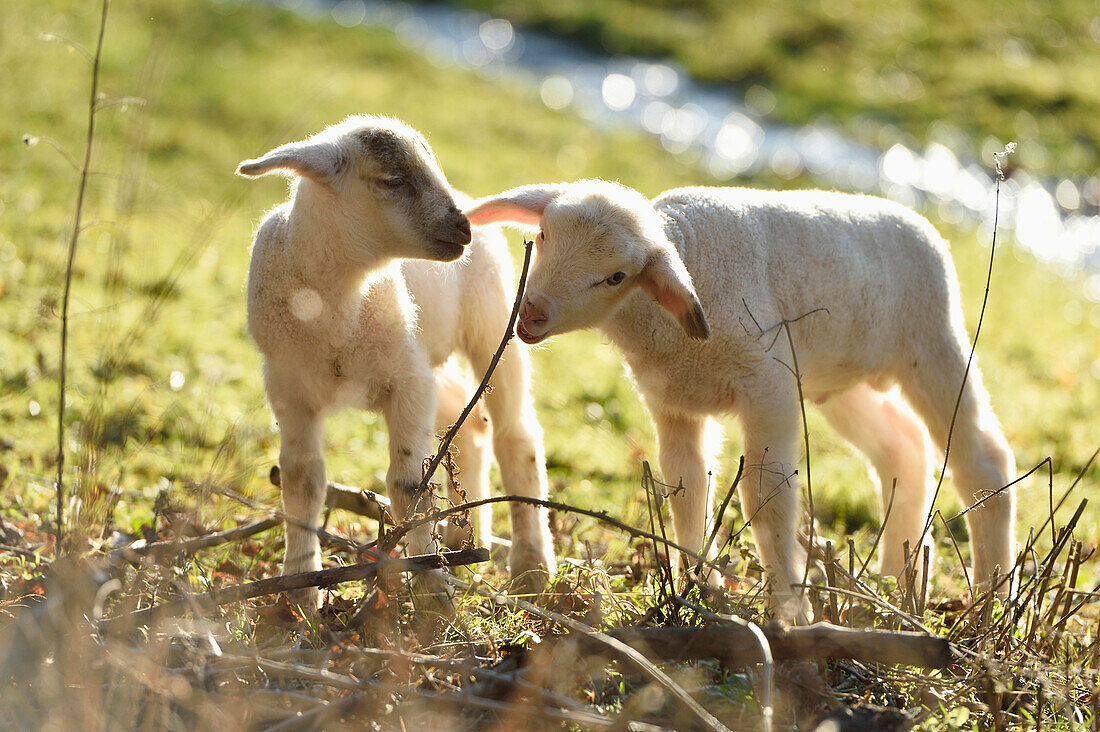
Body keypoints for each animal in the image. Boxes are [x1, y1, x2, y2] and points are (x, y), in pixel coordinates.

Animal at [235, 114, 554, 603]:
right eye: (393, 180)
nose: (462, 228)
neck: (338, 307)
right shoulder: (290, 389)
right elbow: (302, 481)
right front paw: (300, 587)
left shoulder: (407, 384)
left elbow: (408, 487)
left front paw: (431, 592)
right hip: (427, 359)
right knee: (470, 421)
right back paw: (465, 540)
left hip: (493, 321)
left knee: (516, 435)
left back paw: (531, 566)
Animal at [464, 179, 1012, 620]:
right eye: (543, 236)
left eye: (616, 276)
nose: (532, 313)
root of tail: (921, 223)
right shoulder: (674, 402)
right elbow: (685, 488)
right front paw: (696, 586)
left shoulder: (768, 385)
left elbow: (766, 496)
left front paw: (788, 606)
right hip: (842, 380)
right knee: (904, 450)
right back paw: (894, 581)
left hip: (931, 342)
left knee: (982, 459)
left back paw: (991, 598)